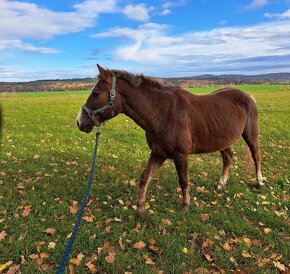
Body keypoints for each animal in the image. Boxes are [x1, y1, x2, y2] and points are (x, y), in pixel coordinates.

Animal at [76, 65, 264, 217]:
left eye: (95, 93)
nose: (80, 121)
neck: (163, 113)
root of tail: (248, 96)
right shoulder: (158, 153)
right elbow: (144, 177)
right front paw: (140, 210)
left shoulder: (180, 155)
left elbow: (183, 180)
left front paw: (185, 206)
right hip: (222, 140)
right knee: (228, 159)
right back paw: (220, 185)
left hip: (250, 136)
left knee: (256, 156)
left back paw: (259, 182)